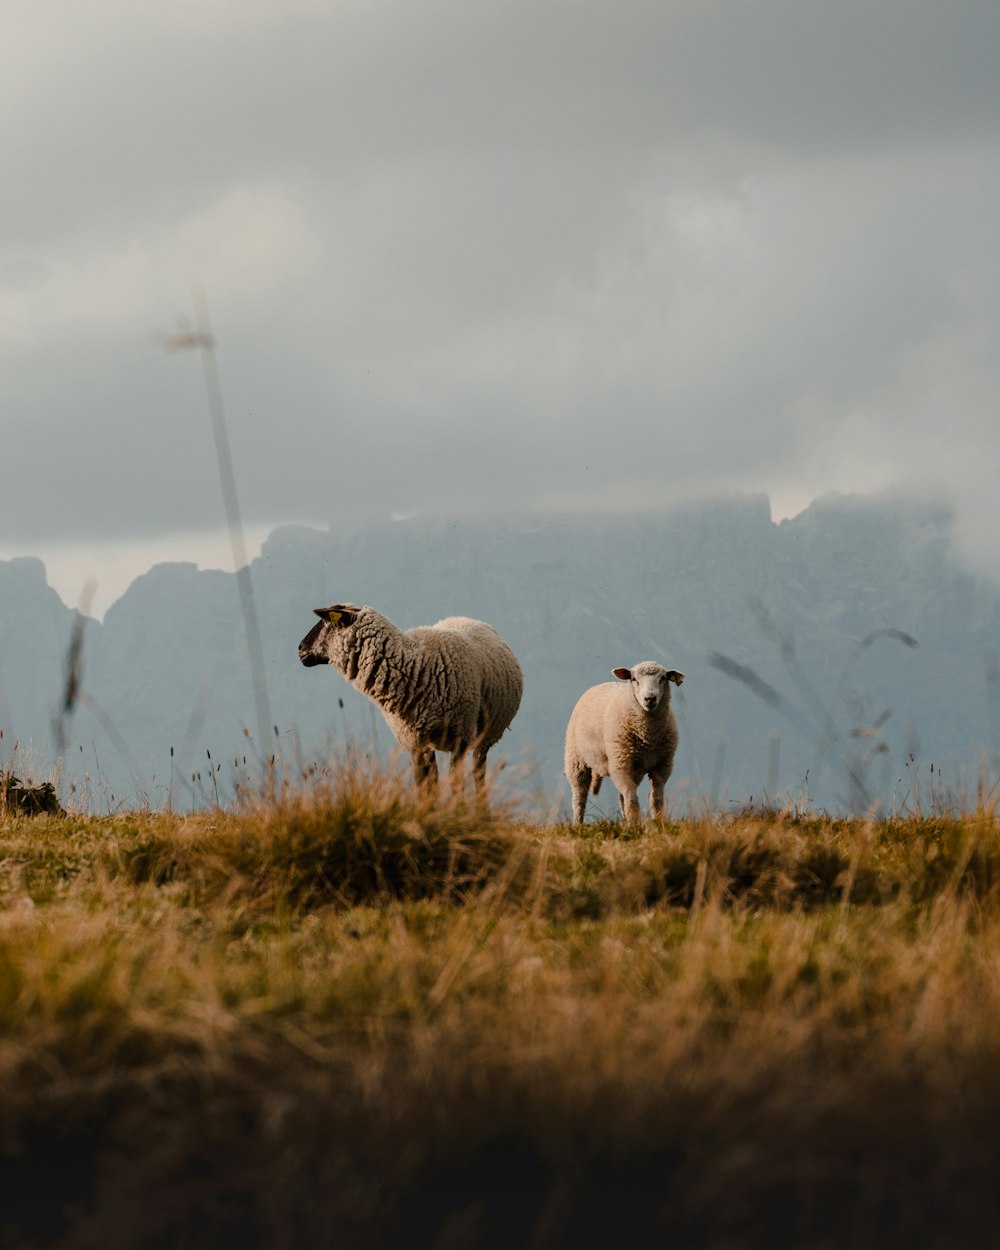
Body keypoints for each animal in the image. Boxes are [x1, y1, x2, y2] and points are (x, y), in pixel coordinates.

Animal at [298, 602, 522, 795]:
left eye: (324, 622)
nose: (300, 648)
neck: (416, 666)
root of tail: (465, 618)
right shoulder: (415, 743)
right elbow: (425, 786)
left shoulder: (461, 736)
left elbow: (456, 784)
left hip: (486, 735)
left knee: (478, 772)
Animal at [567, 660, 685, 825]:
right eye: (634, 679)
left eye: (663, 678)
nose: (650, 698)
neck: (647, 736)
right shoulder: (621, 764)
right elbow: (632, 799)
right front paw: (635, 825)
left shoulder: (662, 766)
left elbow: (656, 799)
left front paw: (658, 823)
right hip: (577, 760)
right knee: (579, 796)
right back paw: (578, 824)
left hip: (633, 769)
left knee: (621, 797)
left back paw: (625, 822)